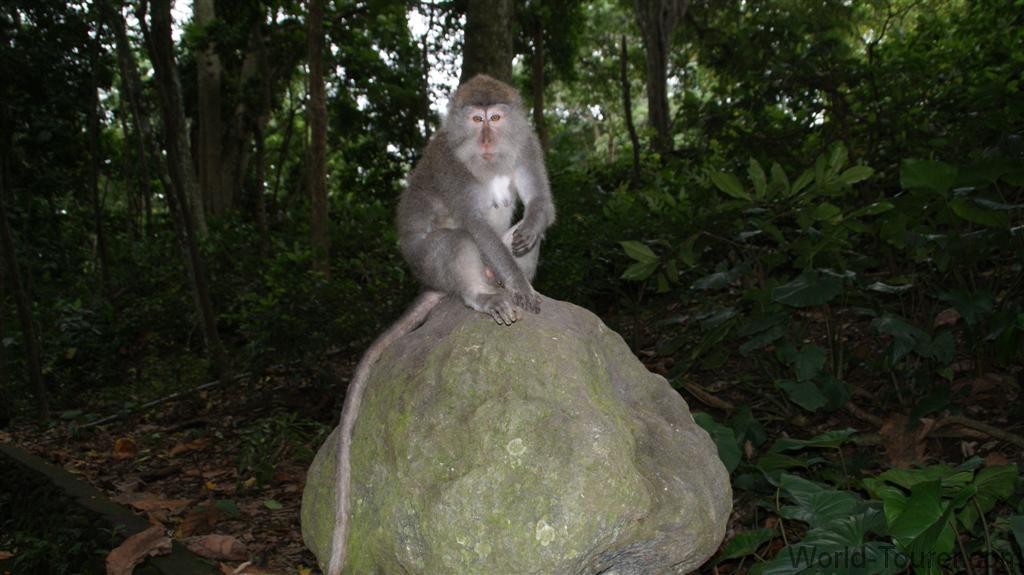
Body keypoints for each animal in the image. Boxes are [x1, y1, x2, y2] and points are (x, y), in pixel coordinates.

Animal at [326, 74, 556, 575]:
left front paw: (529, 238)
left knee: (518, 239)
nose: (487, 139)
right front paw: (518, 288)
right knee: (460, 241)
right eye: (476, 119)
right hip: (432, 264)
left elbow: (540, 204)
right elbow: (476, 226)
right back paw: (485, 296)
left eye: (496, 118)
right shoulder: (452, 170)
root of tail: (432, 284)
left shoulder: (527, 145)